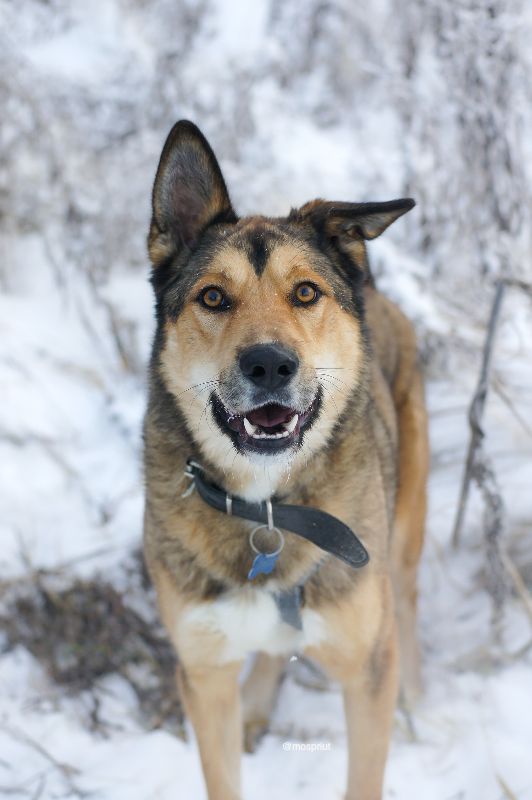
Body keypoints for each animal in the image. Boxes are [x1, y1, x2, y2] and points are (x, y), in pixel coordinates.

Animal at [143, 120, 430, 800]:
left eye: (305, 292)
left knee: (406, 601)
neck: (267, 504)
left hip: (404, 533)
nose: (269, 364)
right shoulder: (204, 673)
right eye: (212, 297)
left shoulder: (366, 669)